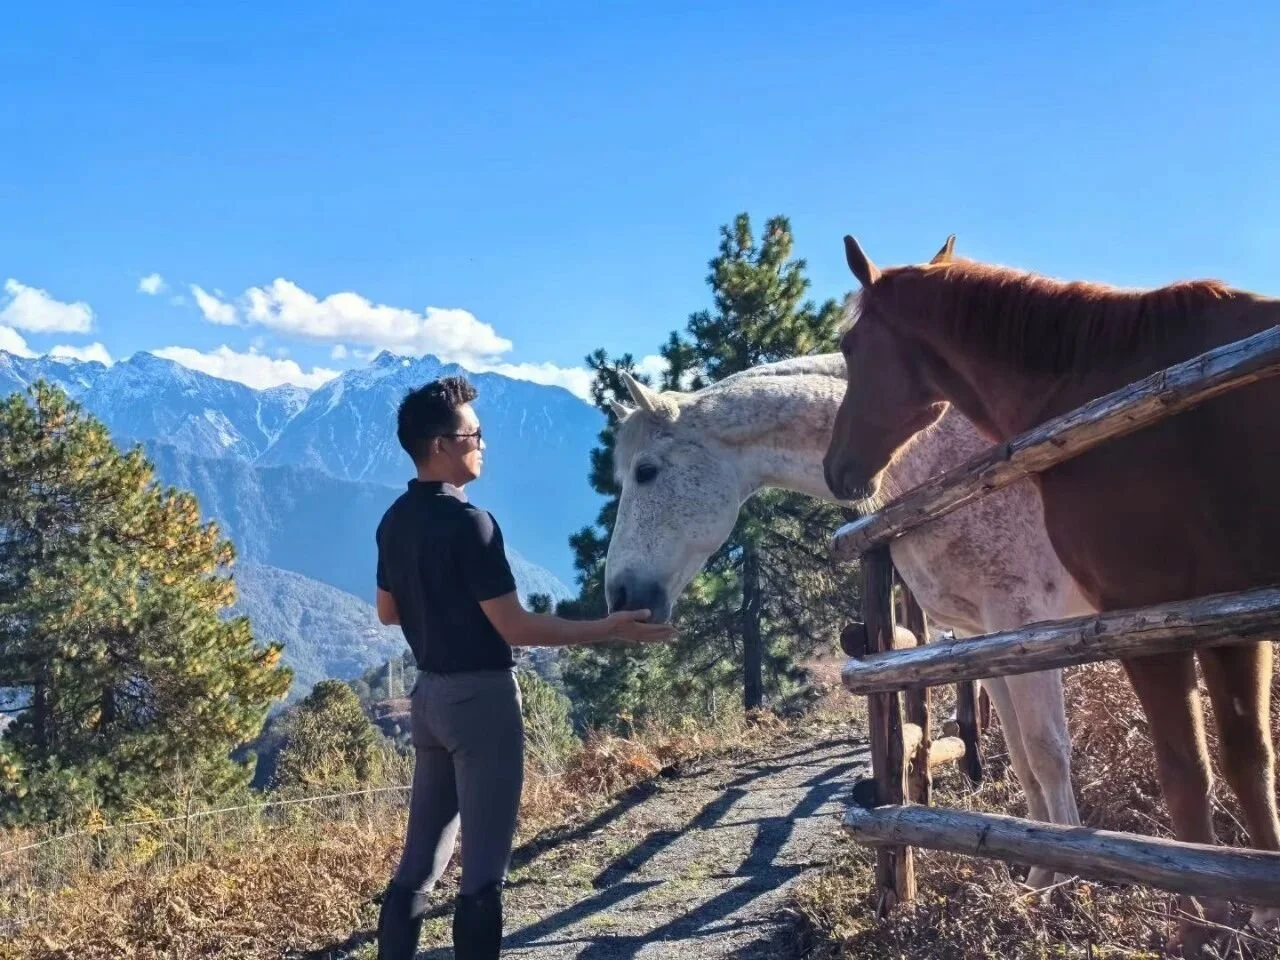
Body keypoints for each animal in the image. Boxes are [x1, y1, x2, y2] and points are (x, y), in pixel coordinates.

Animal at [603, 351, 1096, 888]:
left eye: (646, 472)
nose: (619, 595)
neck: (935, 455)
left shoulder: (1021, 619)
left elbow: (1046, 751)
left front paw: (1063, 884)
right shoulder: (984, 635)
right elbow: (1024, 758)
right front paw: (1035, 876)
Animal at [823, 233, 1280, 951]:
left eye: (848, 346)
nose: (837, 468)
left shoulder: (1150, 622)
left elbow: (1184, 772)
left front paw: (1196, 928)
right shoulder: (1226, 616)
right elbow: (1247, 760)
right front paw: (1261, 913)